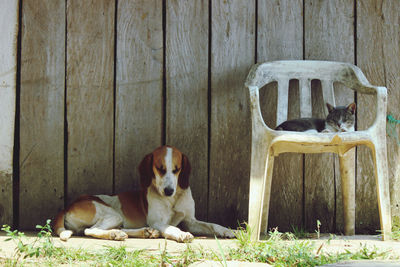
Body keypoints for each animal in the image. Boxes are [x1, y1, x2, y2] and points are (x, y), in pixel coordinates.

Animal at [53, 147, 234, 243]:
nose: (168, 191)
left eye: (176, 170)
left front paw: (228, 230)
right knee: (90, 231)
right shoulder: (158, 222)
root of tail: (67, 206)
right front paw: (181, 234)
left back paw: (144, 232)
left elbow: (212, 225)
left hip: (117, 218)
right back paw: (115, 234)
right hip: (113, 214)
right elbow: (171, 227)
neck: (173, 199)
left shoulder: (190, 221)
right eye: (160, 169)